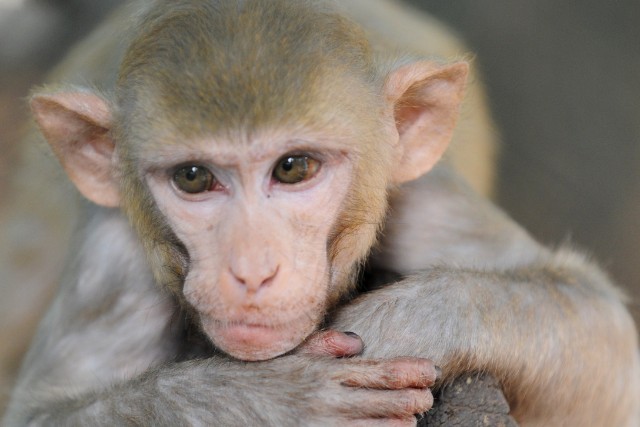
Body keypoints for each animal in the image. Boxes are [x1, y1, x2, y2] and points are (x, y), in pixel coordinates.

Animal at [2, 0, 636, 426]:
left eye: (293, 168)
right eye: (193, 178)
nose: (252, 271)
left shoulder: (419, 193)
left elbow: (598, 320)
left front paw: (382, 330)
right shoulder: (114, 247)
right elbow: (39, 413)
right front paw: (283, 395)